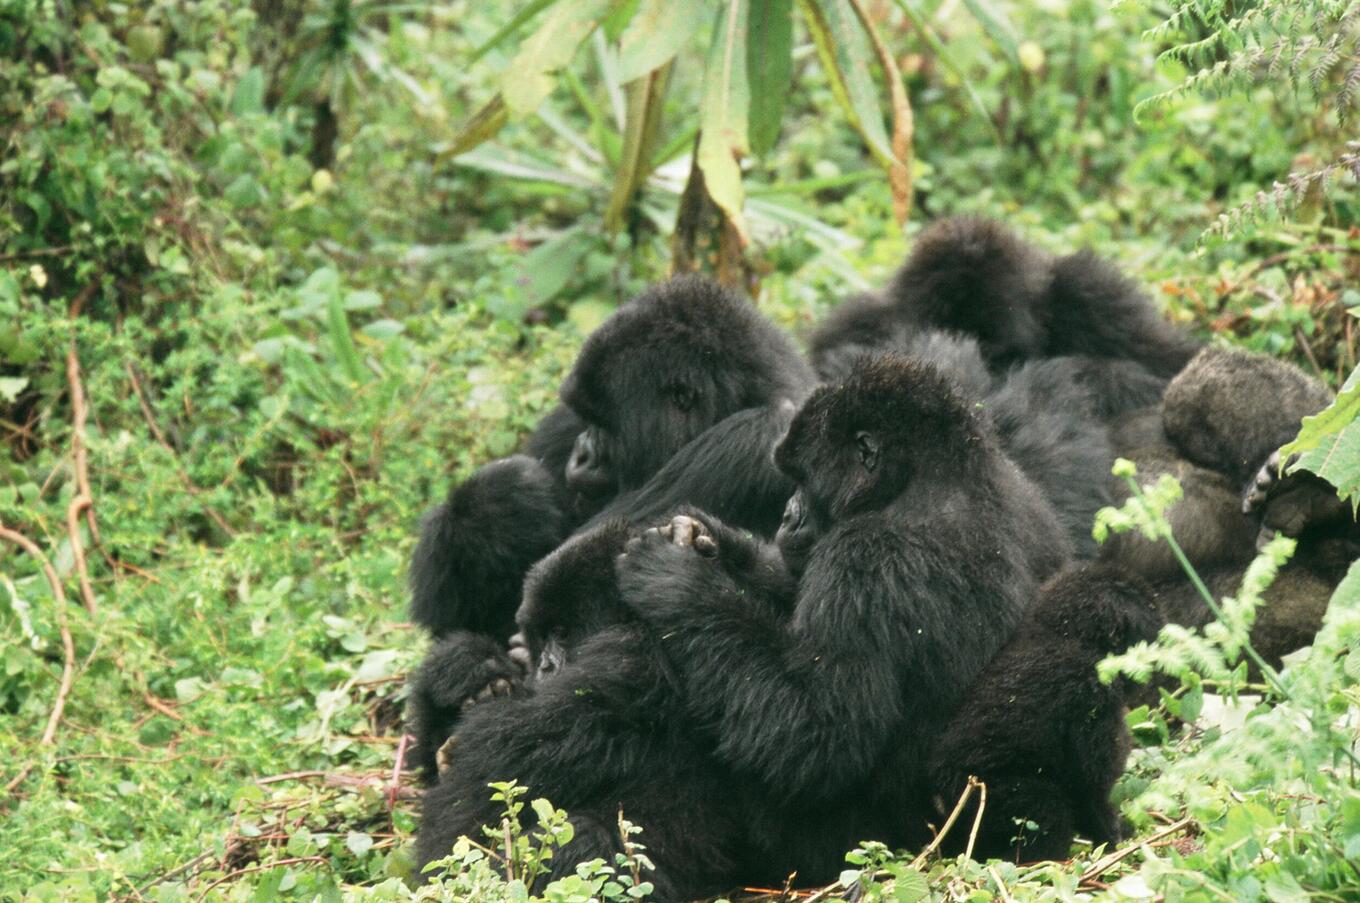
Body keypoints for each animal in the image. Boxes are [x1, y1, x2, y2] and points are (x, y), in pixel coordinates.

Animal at [930, 565, 1164, 859]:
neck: (1065, 636)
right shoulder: (1090, 686)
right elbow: (1091, 780)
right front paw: (1117, 834)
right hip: (991, 794)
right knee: (1047, 813)